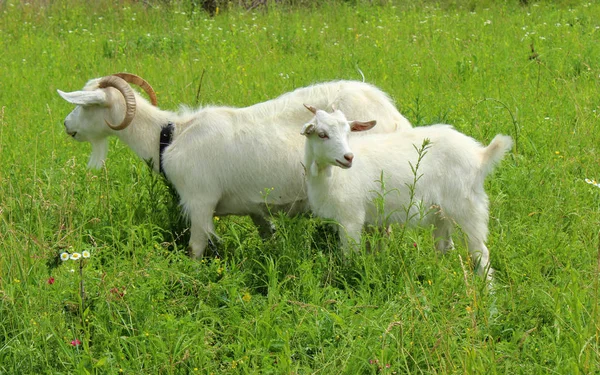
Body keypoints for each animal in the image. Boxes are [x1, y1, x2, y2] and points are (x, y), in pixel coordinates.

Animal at [57, 73, 412, 258]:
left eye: (85, 107)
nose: (66, 126)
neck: (169, 136)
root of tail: (395, 118)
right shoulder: (254, 207)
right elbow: (267, 234)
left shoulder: (199, 201)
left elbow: (196, 247)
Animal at [300, 106, 510, 280]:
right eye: (322, 134)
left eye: (348, 132)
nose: (348, 157)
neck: (331, 175)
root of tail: (480, 155)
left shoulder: (351, 218)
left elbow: (349, 253)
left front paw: (347, 275)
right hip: (441, 213)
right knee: (444, 247)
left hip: (466, 207)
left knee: (480, 253)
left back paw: (487, 292)